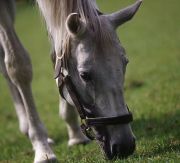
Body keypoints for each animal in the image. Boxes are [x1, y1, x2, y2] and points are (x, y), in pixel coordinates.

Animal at [0, 0, 142, 162]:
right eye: (84, 75)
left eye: (125, 63)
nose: (125, 145)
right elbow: (18, 66)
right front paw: (42, 148)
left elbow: (57, 55)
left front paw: (74, 133)